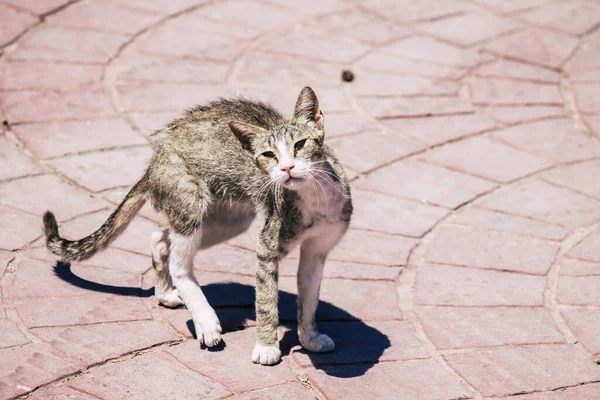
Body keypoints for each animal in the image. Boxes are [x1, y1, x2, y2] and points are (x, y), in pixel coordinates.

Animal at [43, 87, 352, 366]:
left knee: (160, 238)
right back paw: (204, 319)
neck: (314, 198)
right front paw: (266, 347)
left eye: (300, 144)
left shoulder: (318, 250)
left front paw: (309, 337)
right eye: (268, 155)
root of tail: (154, 161)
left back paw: (165, 293)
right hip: (190, 199)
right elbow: (266, 301)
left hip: (229, 220)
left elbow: (309, 299)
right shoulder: (267, 248)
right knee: (180, 265)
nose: (287, 168)